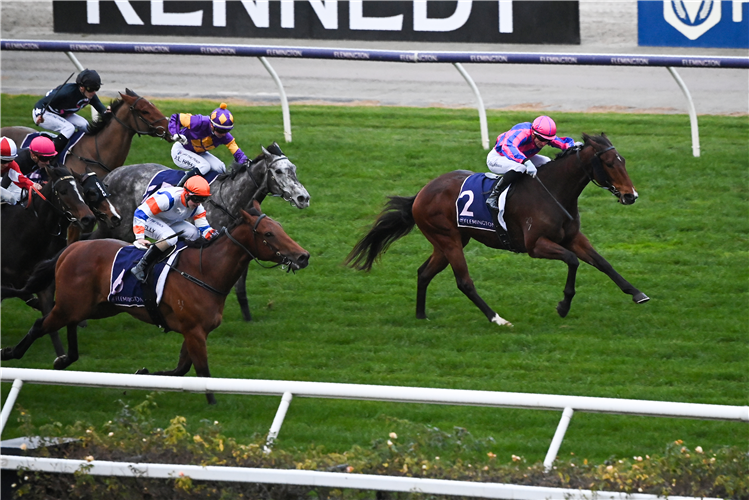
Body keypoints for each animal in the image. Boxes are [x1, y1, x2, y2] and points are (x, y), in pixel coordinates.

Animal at [0, 205, 310, 404]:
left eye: (280, 228)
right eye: (268, 234)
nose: (303, 256)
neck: (205, 272)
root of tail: (71, 248)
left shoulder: (195, 331)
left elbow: (182, 369)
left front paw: (145, 374)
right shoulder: (194, 331)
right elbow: (202, 372)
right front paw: (213, 407)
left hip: (95, 306)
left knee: (71, 325)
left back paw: (64, 358)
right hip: (70, 305)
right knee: (40, 324)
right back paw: (11, 353)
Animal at [348, 133, 644, 326]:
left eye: (623, 160)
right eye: (609, 163)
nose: (631, 196)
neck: (554, 192)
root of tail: (421, 194)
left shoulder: (572, 237)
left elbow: (602, 262)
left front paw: (637, 293)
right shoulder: (536, 245)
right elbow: (572, 261)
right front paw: (563, 306)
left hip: (449, 241)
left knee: (424, 273)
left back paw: (421, 315)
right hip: (448, 239)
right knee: (464, 282)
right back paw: (497, 318)